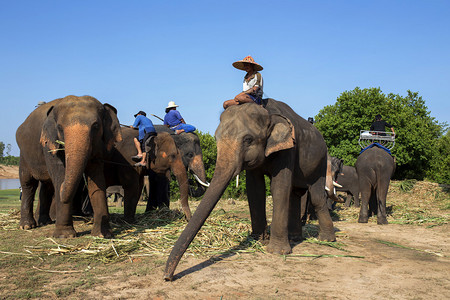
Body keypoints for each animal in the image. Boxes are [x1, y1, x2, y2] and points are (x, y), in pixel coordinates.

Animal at [16, 95, 122, 238]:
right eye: (60, 128)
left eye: (96, 126)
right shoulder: (49, 144)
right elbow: (60, 174)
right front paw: (64, 236)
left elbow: (96, 178)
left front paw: (102, 234)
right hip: (24, 155)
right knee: (28, 183)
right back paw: (27, 226)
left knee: (47, 186)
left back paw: (44, 221)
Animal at [163, 99, 336, 280]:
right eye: (216, 138)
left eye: (248, 139)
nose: (168, 277)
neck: (267, 112)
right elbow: (255, 188)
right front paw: (258, 240)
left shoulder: (289, 148)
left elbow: (279, 187)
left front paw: (276, 252)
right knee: (295, 195)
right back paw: (295, 238)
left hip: (321, 161)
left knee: (316, 195)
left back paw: (326, 240)